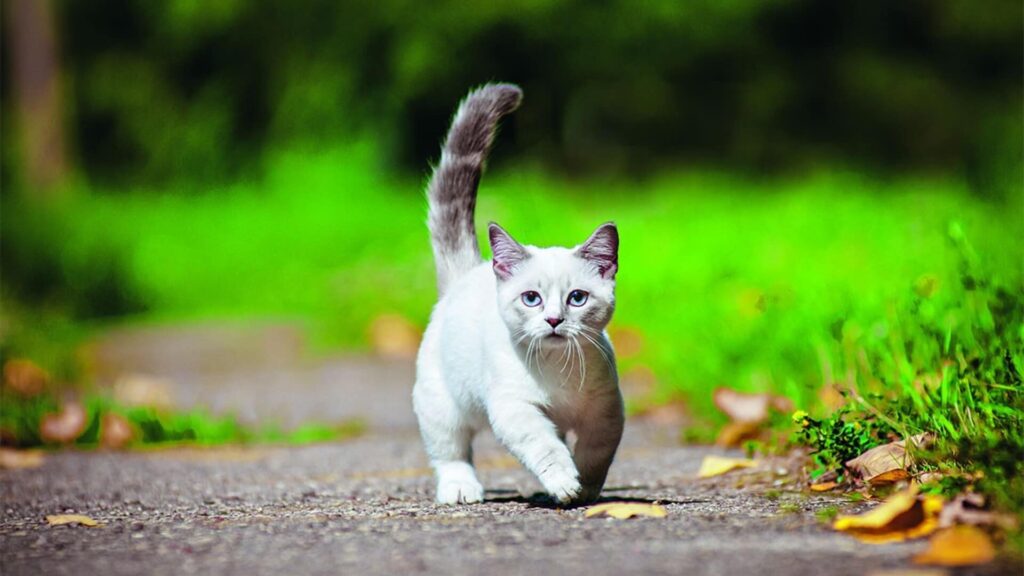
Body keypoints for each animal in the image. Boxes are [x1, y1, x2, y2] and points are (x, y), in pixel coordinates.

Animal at [413, 81, 622, 502]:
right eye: (531, 298)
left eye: (577, 298)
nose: (554, 320)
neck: (558, 375)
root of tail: (468, 272)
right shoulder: (514, 409)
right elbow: (545, 448)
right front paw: (564, 483)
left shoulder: (607, 411)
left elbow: (596, 452)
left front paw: (585, 489)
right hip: (441, 404)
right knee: (451, 453)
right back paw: (461, 488)